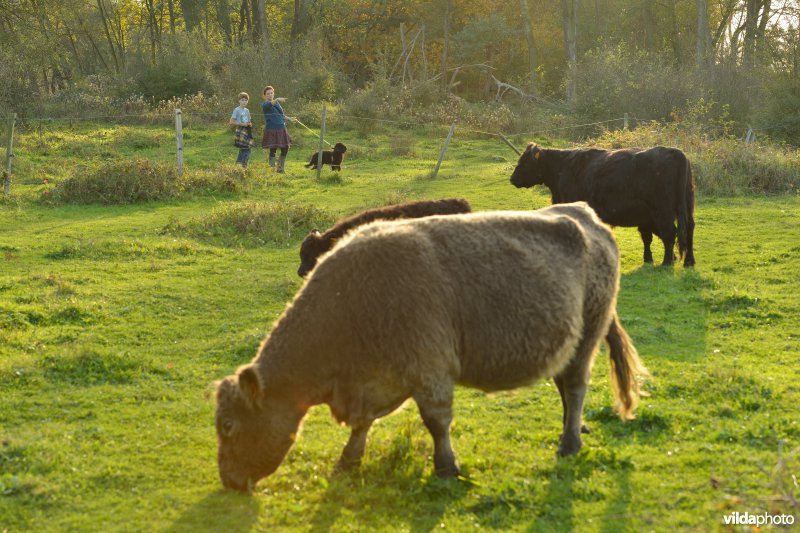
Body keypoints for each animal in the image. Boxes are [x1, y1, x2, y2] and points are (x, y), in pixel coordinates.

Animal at [512, 143, 692, 266]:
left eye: (525, 162)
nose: (512, 178)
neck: (561, 168)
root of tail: (674, 151)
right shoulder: (645, 219)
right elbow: (647, 238)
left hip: (662, 211)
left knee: (670, 233)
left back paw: (667, 262)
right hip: (683, 208)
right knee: (687, 230)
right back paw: (688, 262)